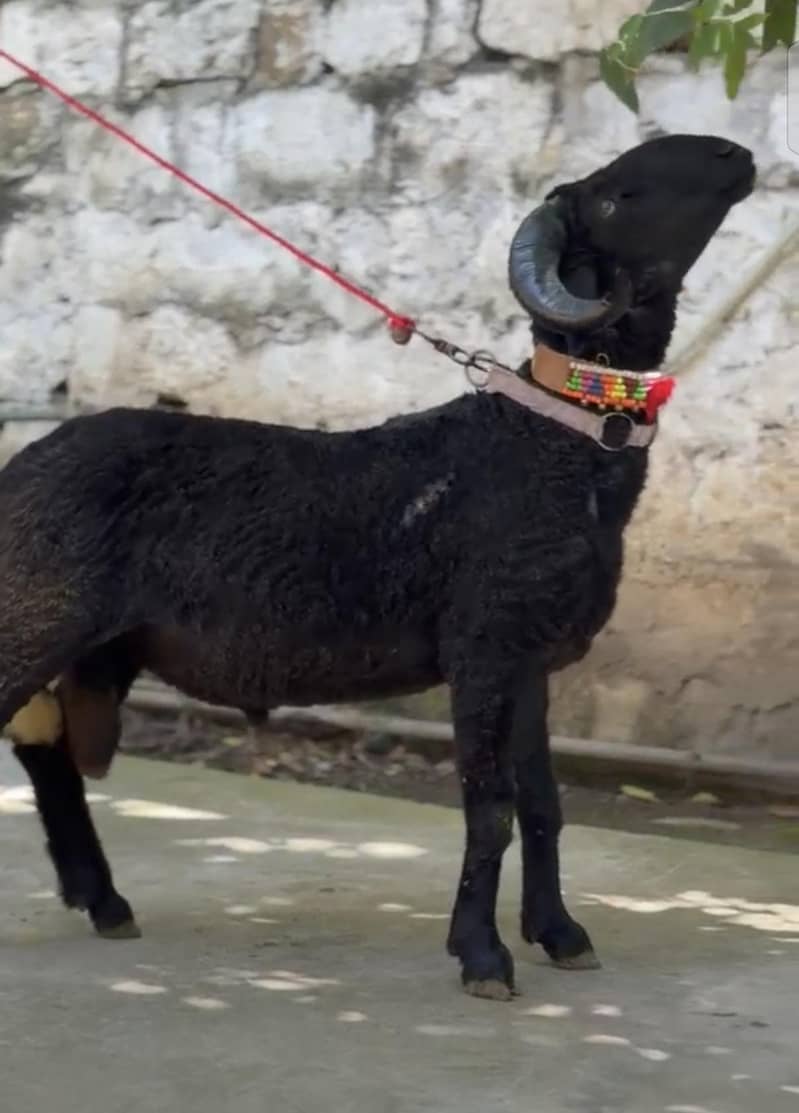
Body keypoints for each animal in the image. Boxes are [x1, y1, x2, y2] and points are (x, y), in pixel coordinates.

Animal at [0, 133, 755, 1000]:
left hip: (87, 637)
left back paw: (104, 900)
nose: (734, 154)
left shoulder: (527, 657)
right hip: (37, 610)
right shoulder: (482, 647)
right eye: (613, 197)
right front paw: (482, 956)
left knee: (47, 749)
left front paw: (560, 933)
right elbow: (490, 805)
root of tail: (22, 463)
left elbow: (542, 803)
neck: (554, 443)